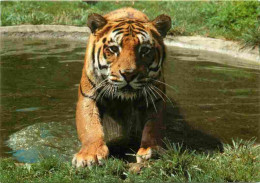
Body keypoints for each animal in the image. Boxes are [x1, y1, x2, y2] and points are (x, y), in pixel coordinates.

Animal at [72, 7, 172, 167]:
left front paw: (152, 150)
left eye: (145, 50)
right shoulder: (89, 96)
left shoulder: (155, 98)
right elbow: (90, 126)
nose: (128, 74)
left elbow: (153, 126)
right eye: (113, 49)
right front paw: (89, 155)